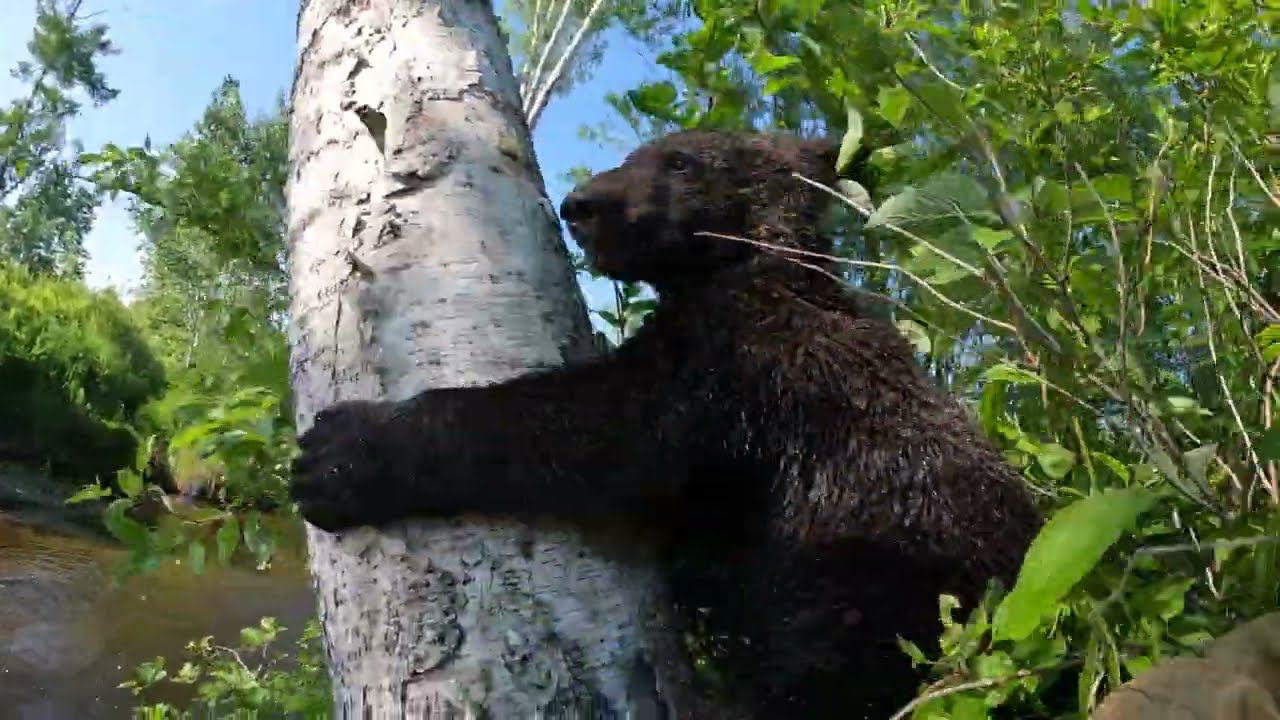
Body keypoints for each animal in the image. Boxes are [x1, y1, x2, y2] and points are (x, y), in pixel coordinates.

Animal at [294, 130, 1044, 717]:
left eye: (680, 161)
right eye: (635, 154)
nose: (581, 205)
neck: (750, 269)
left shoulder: (733, 372)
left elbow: (581, 433)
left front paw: (343, 455)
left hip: (885, 587)